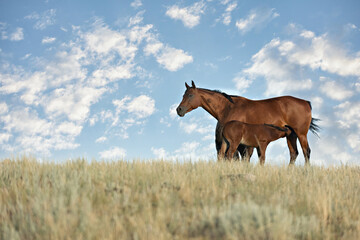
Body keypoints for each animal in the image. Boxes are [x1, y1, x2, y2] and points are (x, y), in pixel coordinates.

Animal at [176, 80, 320, 165]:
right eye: (183, 95)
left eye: (190, 95)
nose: (179, 110)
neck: (228, 107)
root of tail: (306, 102)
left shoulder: (239, 142)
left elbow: (239, 158)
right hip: (291, 135)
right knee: (294, 153)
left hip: (301, 134)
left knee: (306, 152)